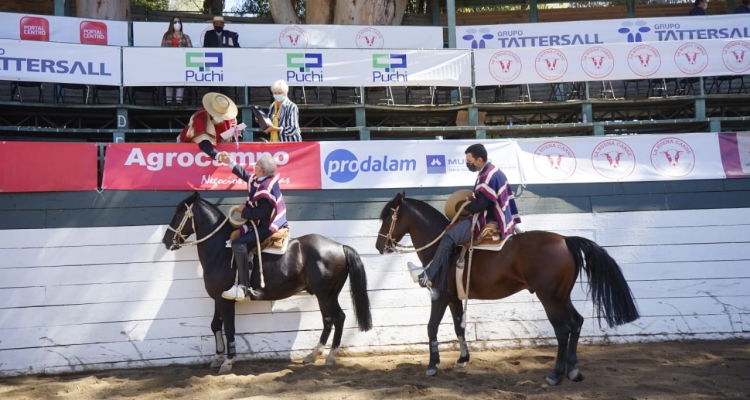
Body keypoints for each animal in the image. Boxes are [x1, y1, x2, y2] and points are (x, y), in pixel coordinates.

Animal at [162, 192, 374, 374]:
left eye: (179, 212)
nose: (166, 240)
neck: (221, 250)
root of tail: (340, 247)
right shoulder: (217, 298)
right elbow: (215, 325)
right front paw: (217, 358)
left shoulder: (225, 301)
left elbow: (229, 328)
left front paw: (228, 361)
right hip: (323, 296)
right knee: (328, 320)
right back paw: (312, 355)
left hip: (327, 295)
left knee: (338, 318)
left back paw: (330, 357)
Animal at [376, 192, 640, 386]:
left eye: (388, 217)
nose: (379, 246)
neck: (441, 245)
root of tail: (565, 240)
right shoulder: (454, 298)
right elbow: (459, 327)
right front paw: (463, 358)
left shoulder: (439, 296)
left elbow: (431, 327)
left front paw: (432, 365)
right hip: (562, 296)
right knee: (576, 322)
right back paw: (573, 371)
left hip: (550, 298)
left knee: (563, 330)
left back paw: (555, 375)